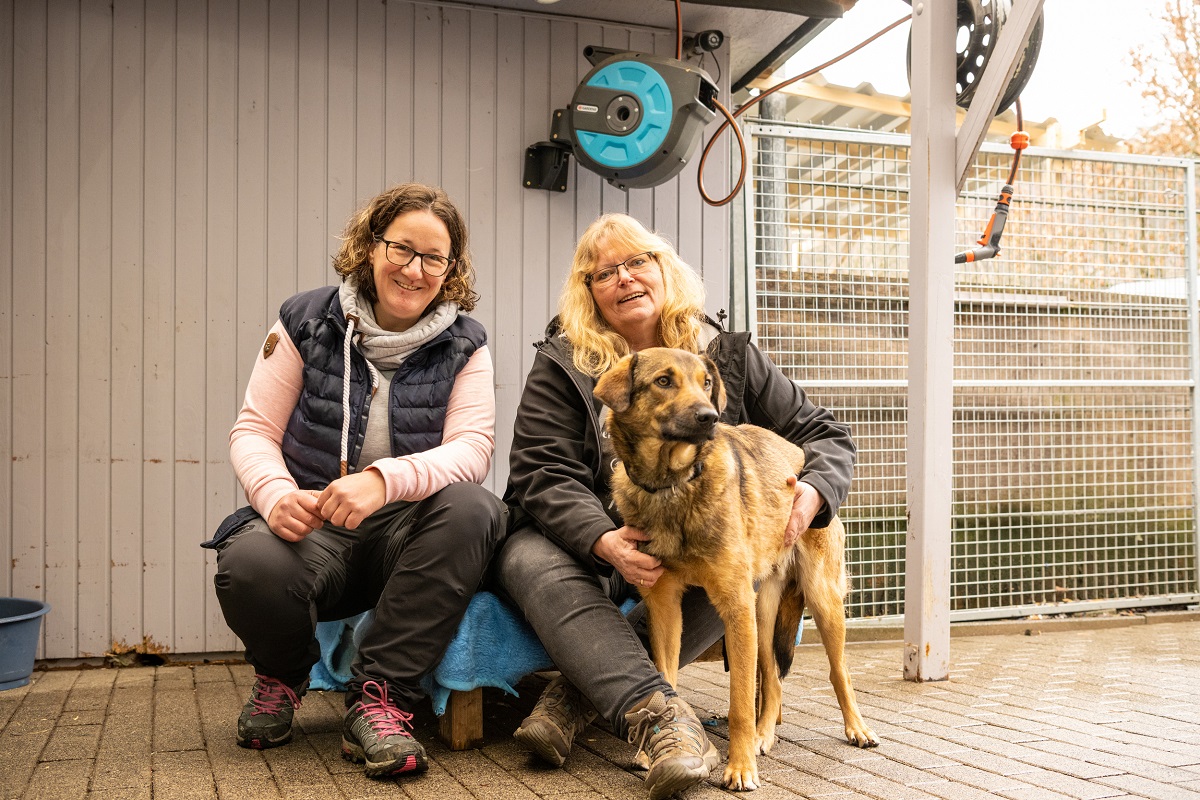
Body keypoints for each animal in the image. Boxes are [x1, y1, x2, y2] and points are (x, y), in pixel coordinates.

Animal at [592, 347, 883, 791]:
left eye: (707, 383)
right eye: (664, 381)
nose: (709, 417)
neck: (674, 484)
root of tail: (801, 455)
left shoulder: (734, 606)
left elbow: (741, 701)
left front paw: (740, 768)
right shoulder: (665, 608)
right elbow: (668, 678)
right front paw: (656, 746)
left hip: (819, 600)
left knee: (838, 673)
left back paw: (857, 729)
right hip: (761, 615)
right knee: (773, 681)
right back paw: (765, 736)